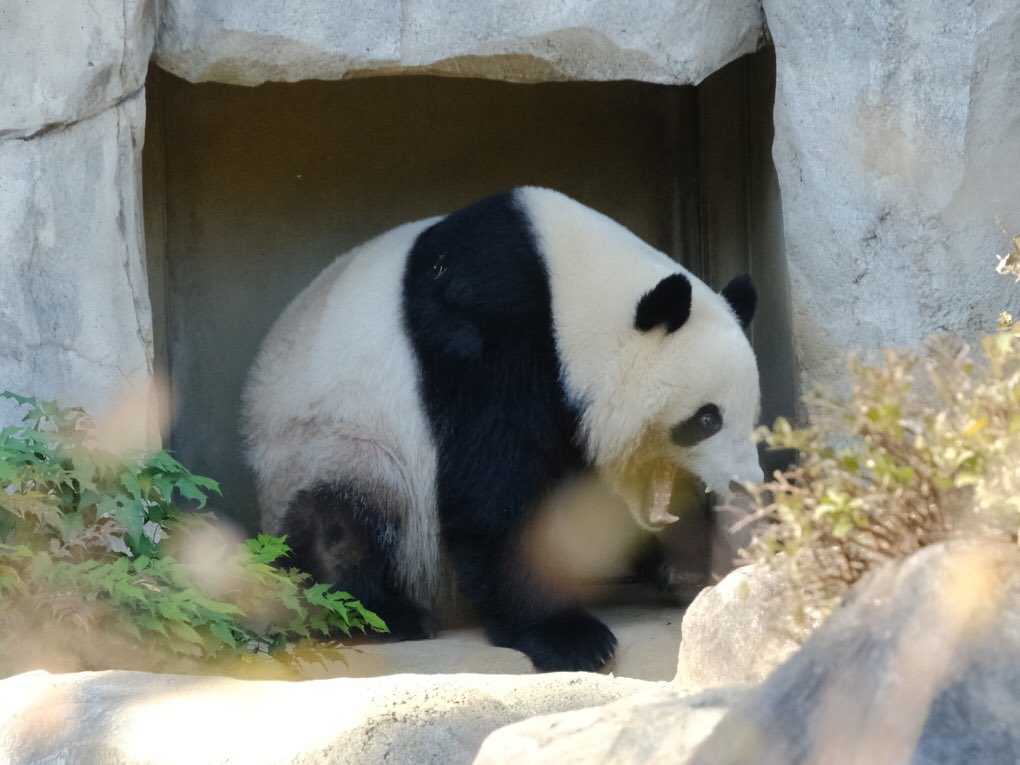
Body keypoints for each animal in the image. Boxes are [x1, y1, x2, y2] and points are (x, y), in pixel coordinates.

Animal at [241, 187, 762, 672]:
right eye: (707, 419)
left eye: (752, 416)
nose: (746, 483)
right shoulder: (490, 337)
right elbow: (493, 492)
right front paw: (570, 637)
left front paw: (690, 566)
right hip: (335, 443)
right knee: (339, 522)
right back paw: (386, 614)